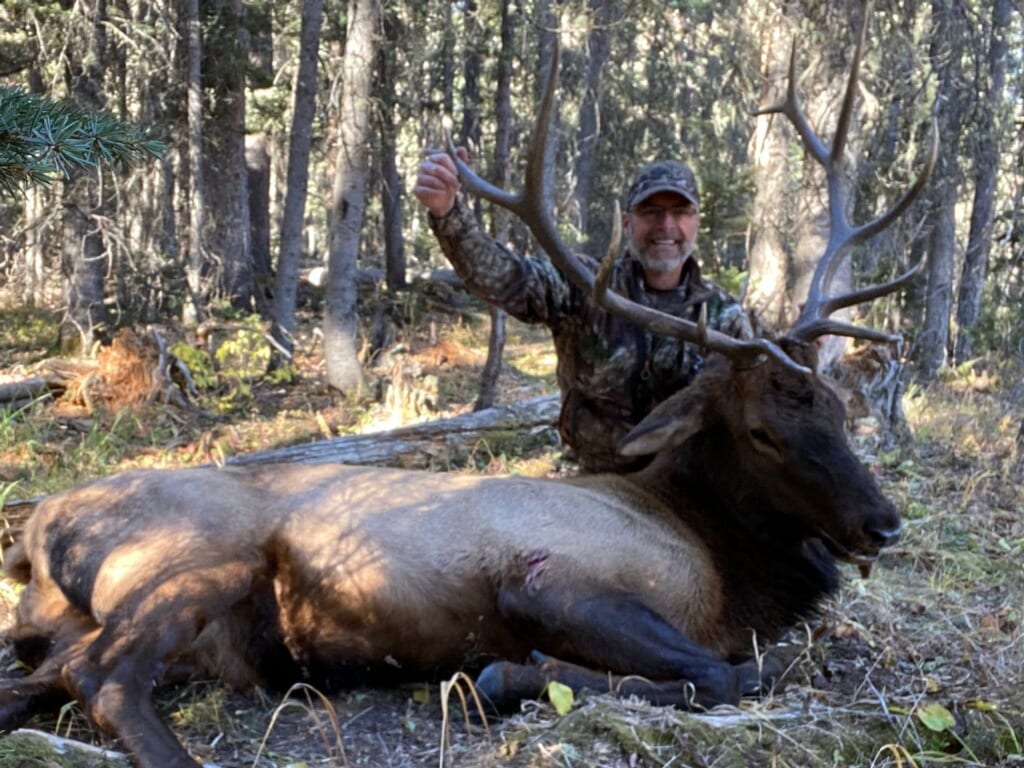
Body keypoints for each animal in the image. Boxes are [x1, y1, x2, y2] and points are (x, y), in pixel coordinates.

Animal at [0, 12, 934, 768]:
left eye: (841, 410)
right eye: (765, 430)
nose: (882, 524)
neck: (719, 565)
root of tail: (37, 528)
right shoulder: (550, 576)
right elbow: (726, 672)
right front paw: (517, 675)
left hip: (66, 623)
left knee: (45, 678)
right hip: (195, 559)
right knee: (106, 676)